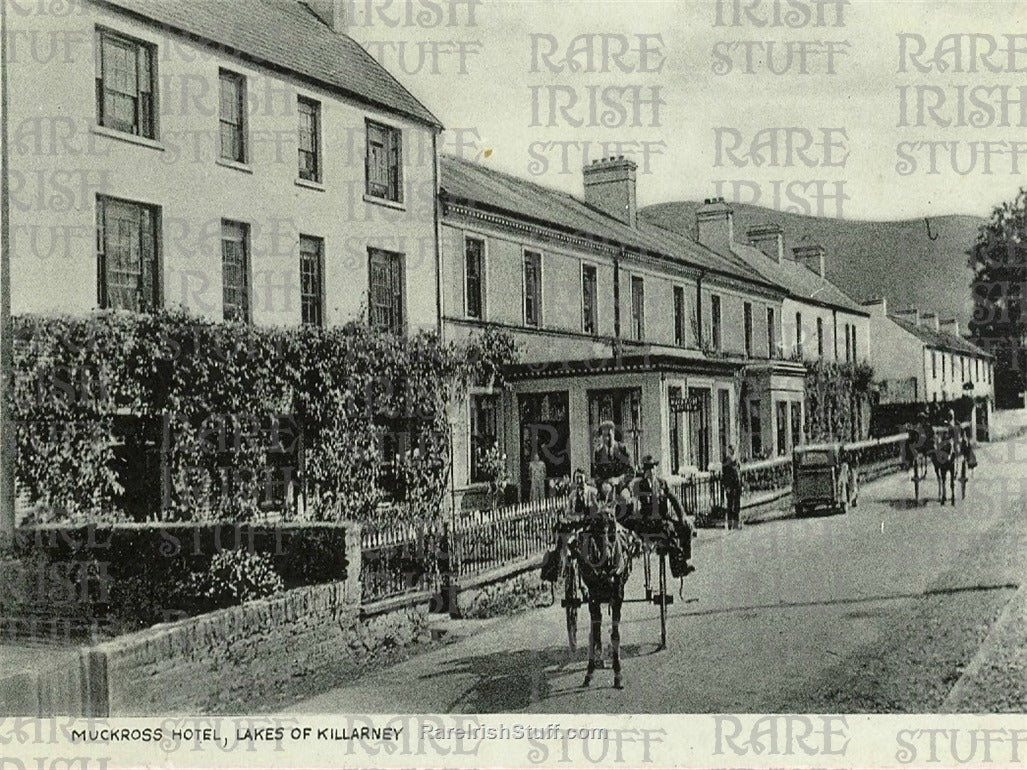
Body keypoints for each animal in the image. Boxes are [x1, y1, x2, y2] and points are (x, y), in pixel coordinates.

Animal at [566, 509, 636, 689]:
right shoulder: (593, 598)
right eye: (595, 534)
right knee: (595, 630)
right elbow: (594, 631)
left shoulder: (618, 596)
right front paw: (590, 671)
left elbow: (615, 634)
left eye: (611, 531)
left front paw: (617, 672)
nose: (608, 561)